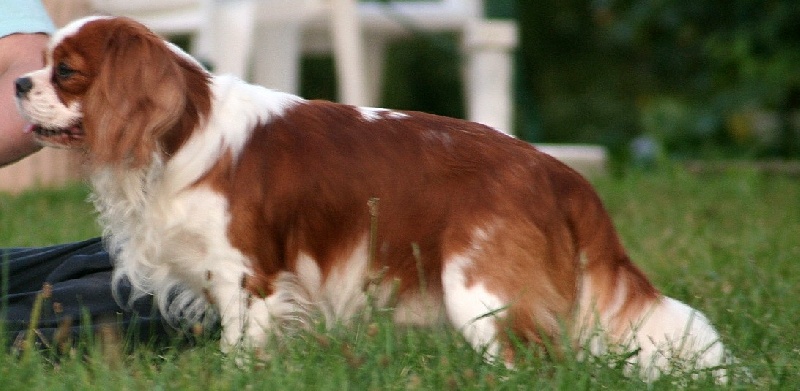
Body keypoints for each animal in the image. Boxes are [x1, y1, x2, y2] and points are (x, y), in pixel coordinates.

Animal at [14, 16, 724, 382]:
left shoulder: (250, 277)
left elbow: (242, 345)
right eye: (40, 63)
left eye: (66, 72)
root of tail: (557, 171)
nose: (18, 82)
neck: (178, 135)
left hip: (481, 292)